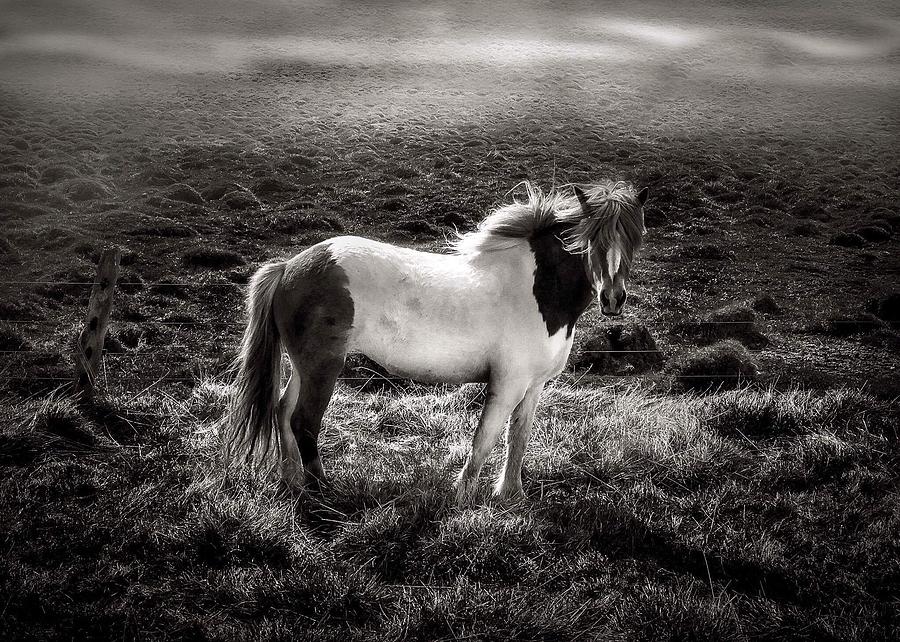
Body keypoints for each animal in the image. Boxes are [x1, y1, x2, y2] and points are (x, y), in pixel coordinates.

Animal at [225, 178, 648, 502]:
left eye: (634, 238)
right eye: (591, 240)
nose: (613, 299)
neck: (537, 288)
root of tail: (288, 267)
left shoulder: (534, 385)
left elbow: (518, 437)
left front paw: (510, 495)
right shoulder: (508, 382)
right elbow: (485, 439)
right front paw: (462, 498)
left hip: (304, 366)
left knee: (282, 411)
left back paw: (291, 482)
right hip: (323, 367)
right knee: (304, 422)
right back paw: (322, 494)